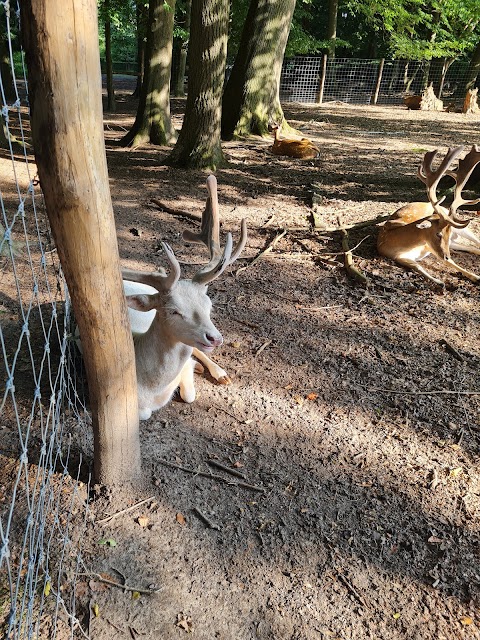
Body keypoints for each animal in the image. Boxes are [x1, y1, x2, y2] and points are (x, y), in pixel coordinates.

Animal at [123, 178, 248, 422]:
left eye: (209, 305)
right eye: (174, 311)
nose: (215, 338)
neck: (151, 389)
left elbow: (189, 393)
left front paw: (194, 370)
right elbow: (146, 413)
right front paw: (193, 368)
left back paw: (220, 373)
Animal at [376, 146, 480, 286]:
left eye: (446, 233)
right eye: (438, 234)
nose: (447, 255)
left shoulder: (431, 247)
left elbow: (450, 262)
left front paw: (476, 277)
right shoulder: (398, 256)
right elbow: (417, 267)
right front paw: (439, 282)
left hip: (461, 230)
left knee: (476, 241)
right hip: (454, 241)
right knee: (471, 247)